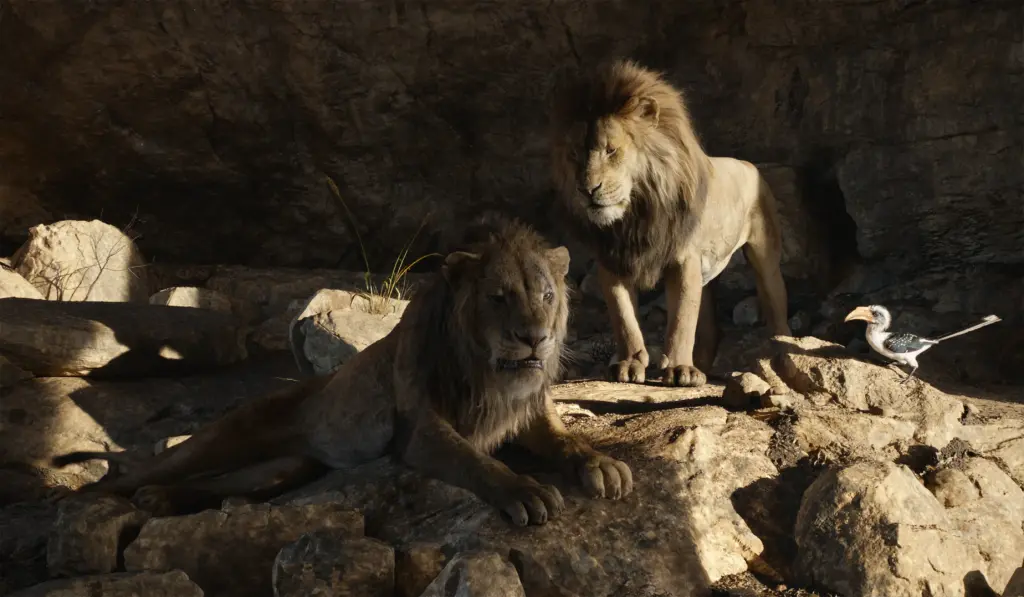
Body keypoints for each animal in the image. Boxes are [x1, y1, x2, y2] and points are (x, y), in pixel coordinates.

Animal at [53, 218, 632, 526]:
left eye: (547, 296)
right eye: (499, 297)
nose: (535, 337)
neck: (489, 372)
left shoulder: (527, 413)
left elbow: (567, 441)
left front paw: (603, 465)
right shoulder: (420, 430)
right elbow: (474, 462)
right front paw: (524, 491)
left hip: (283, 468)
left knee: (222, 486)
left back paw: (161, 501)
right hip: (223, 437)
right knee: (149, 471)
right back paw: (83, 500)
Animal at [550, 59, 791, 387]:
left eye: (611, 150)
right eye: (574, 154)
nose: (587, 190)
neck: (636, 215)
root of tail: (748, 163)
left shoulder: (684, 259)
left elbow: (681, 320)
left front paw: (679, 370)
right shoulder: (612, 260)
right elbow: (623, 317)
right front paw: (629, 363)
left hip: (765, 257)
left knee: (777, 309)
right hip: (707, 272)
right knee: (710, 327)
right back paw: (702, 366)